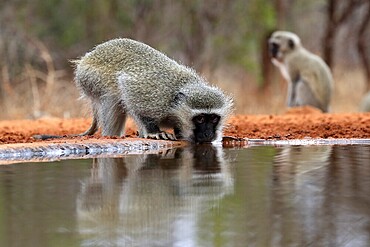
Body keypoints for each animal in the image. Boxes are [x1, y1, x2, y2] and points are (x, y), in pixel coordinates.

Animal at [34, 37, 231, 144]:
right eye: (200, 119)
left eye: (213, 118)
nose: (208, 134)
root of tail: (86, 57)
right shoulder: (153, 96)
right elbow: (129, 93)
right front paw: (153, 131)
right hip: (90, 77)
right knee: (113, 99)